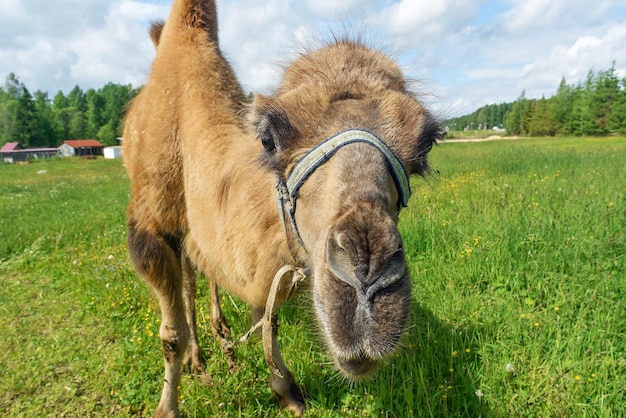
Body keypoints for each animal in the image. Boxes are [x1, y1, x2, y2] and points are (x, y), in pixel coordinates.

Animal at [122, 0, 438, 414]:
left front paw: (286, 392)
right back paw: (200, 358)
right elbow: (171, 336)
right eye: (268, 137)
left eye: (425, 144)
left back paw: (222, 340)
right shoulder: (148, 228)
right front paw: (167, 409)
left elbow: (266, 316)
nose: (367, 280)